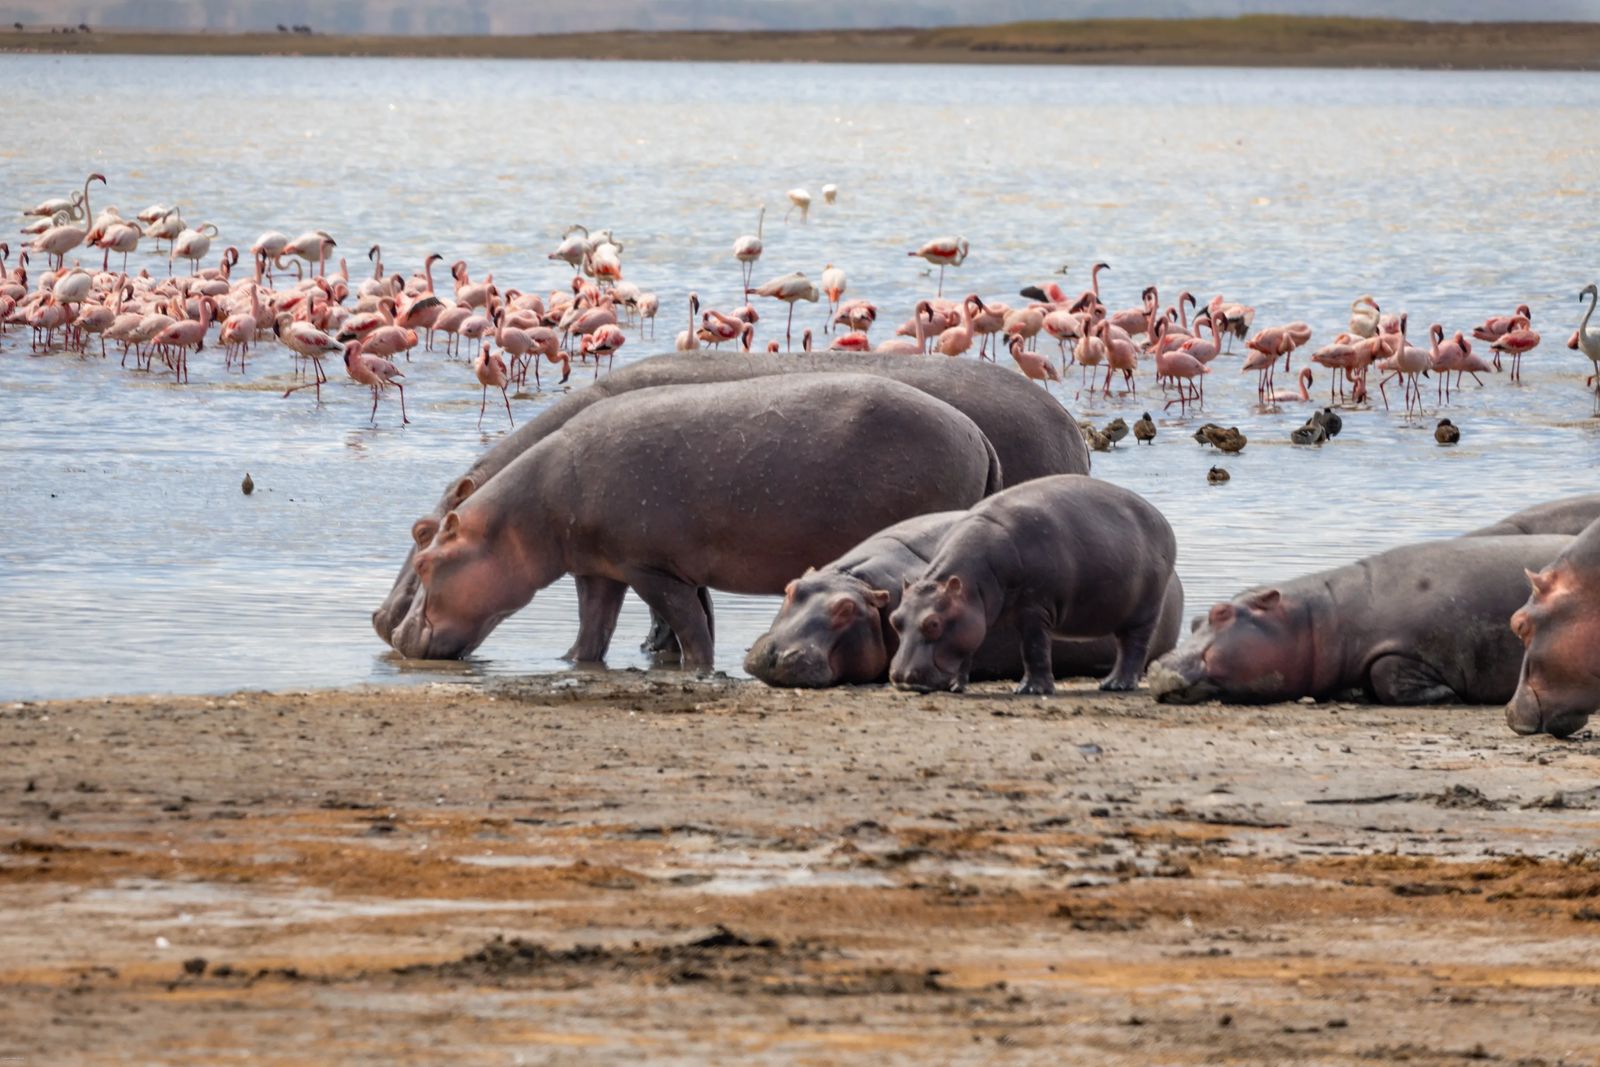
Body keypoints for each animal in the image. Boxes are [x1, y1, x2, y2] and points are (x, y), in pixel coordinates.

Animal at [887, 476, 1178, 695]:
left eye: (933, 623)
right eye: (894, 620)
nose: (900, 676)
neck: (970, 584)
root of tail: (1162, 520)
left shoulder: (1035, 608)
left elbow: (1033, 648)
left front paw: (1031, 690)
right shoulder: (970, 614)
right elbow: (967, 647)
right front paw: (956, 687)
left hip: (1145, 611)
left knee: (1134, 647)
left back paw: (1117, 685)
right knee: (1123, 646)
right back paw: (1109, 683)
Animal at [1149, 535, 1573, 706]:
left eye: (1222, 612)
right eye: (1195, 621)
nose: (1158, 666)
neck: (1324, 616)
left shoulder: (1415, 648)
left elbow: (1387, 673)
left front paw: (1446, 695)